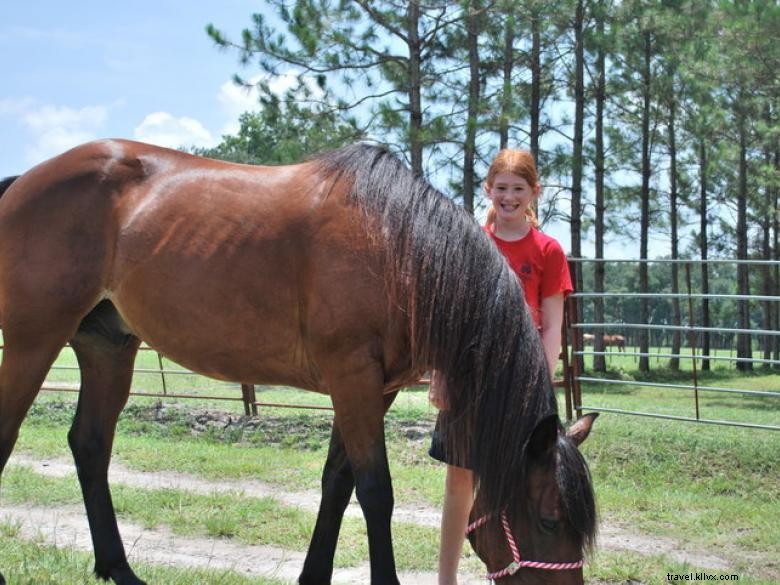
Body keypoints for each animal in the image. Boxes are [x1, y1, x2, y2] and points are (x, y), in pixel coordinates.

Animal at [0, 140, 597, 585]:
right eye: (550, 520)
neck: (400, 246)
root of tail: (24, 181)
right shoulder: (351, 377)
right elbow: (375, 492)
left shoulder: (373, 388)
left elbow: (338, 484)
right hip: (33, 341)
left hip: (108, 349)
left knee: (90, 445)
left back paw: (118, 568)